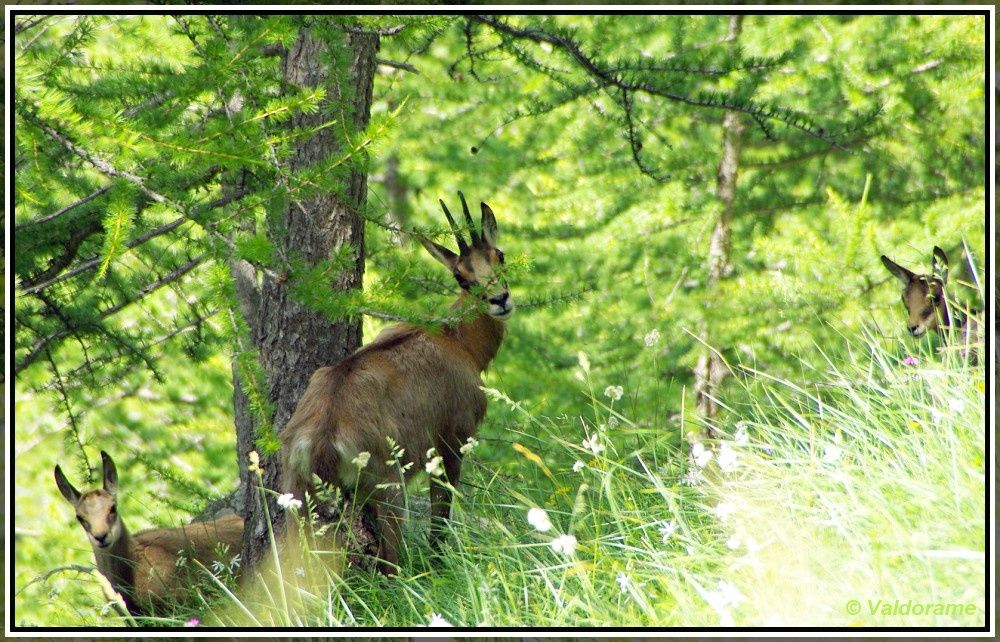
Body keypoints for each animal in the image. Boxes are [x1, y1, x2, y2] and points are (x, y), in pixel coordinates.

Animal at [280, 192, 513, 575]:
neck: (457, 340)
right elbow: (440, 519)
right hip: (389, 489)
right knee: (391, 562)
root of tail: (322, 438)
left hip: (298, 502)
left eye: (499, 255)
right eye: (461, 276)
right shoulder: (450, 442)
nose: (500, 300)